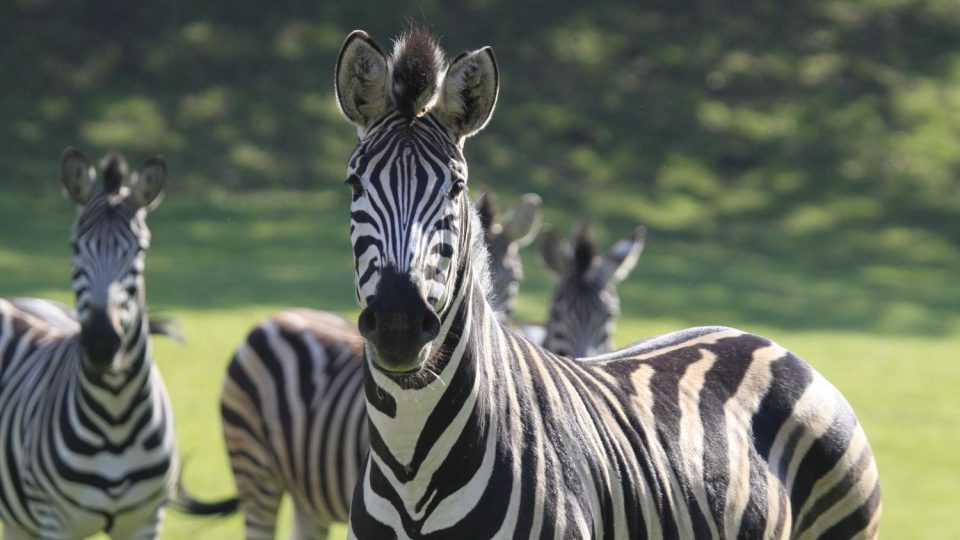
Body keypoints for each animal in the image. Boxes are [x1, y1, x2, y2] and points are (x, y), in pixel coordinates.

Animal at [0, 148, 176, 540]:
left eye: (139, 250)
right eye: (75, 246)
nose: (100, 343)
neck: (116, 414)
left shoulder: (146, 521)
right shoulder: (54, 521)